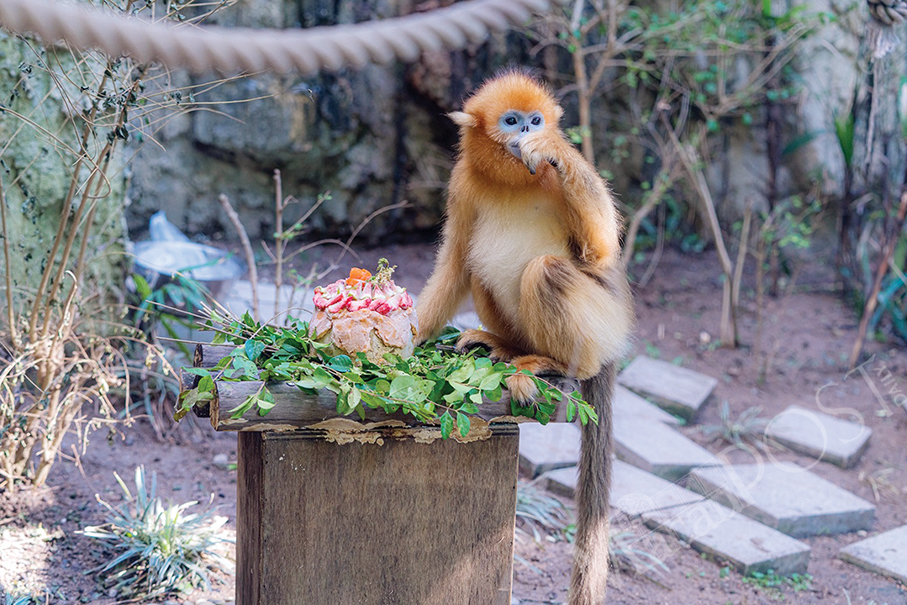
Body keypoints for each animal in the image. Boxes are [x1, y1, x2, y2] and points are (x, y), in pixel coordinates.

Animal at [415, 70, 633, 605]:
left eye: (535, 121)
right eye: (511, 120)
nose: (527, 133)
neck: (514, 180)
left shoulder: (558, 185)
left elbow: (599, 252)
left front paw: (551, 148)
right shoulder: (463, 182)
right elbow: (454, 263)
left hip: (601, 324)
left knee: (547, 270)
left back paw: (550, 363)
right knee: (477, 262)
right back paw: (508, 349)